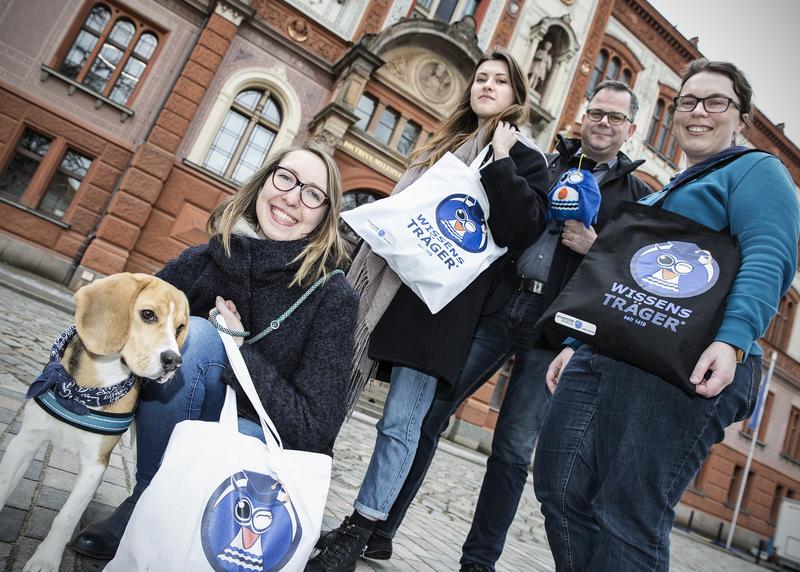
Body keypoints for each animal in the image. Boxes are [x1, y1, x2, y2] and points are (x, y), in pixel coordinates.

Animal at [0, 272, 188, 572]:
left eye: (179, 327)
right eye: (148, 315)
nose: (174, 361)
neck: (82, 391)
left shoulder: (95, 464)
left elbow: (65, 518)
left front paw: (45, 559)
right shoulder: (25, 440)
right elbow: (4, 484)